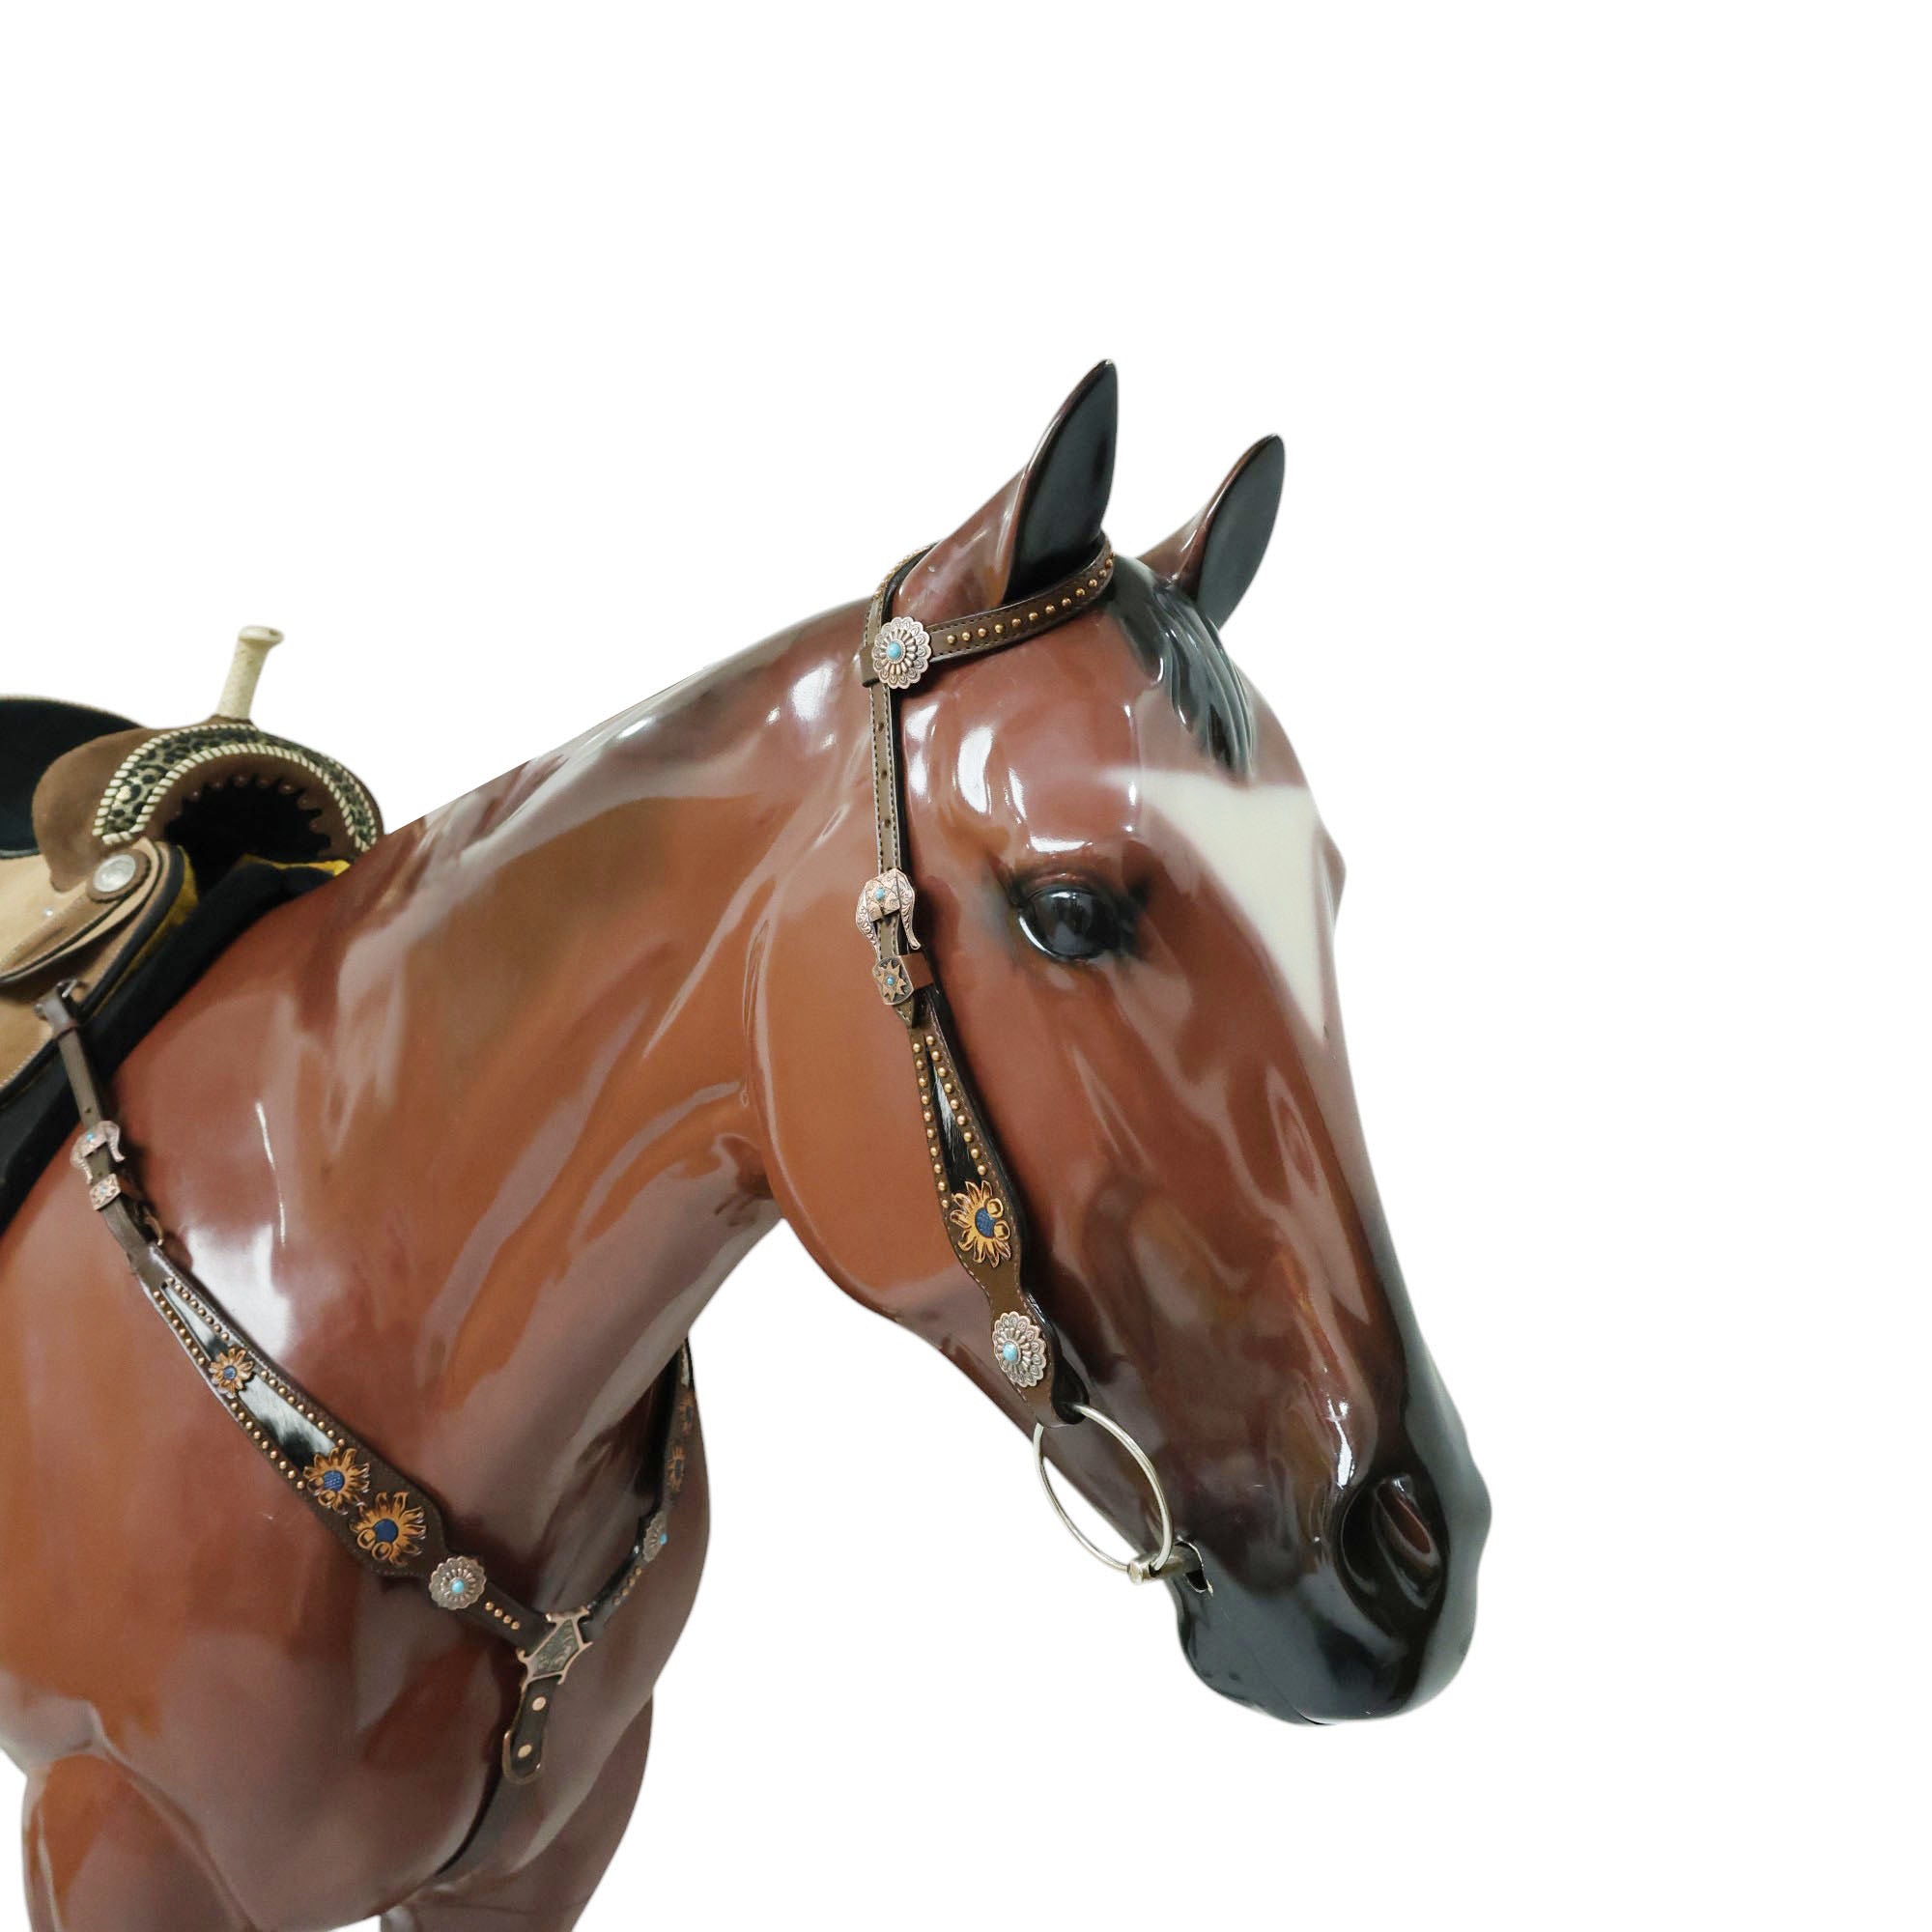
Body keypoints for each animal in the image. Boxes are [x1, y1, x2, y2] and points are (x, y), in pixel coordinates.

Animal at [0, 363, 1488, 1930]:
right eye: (1070, 909)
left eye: (1324, 886)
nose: (1415, 1553)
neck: (347, 1276)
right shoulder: (114, 1838)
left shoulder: (550, 1845)